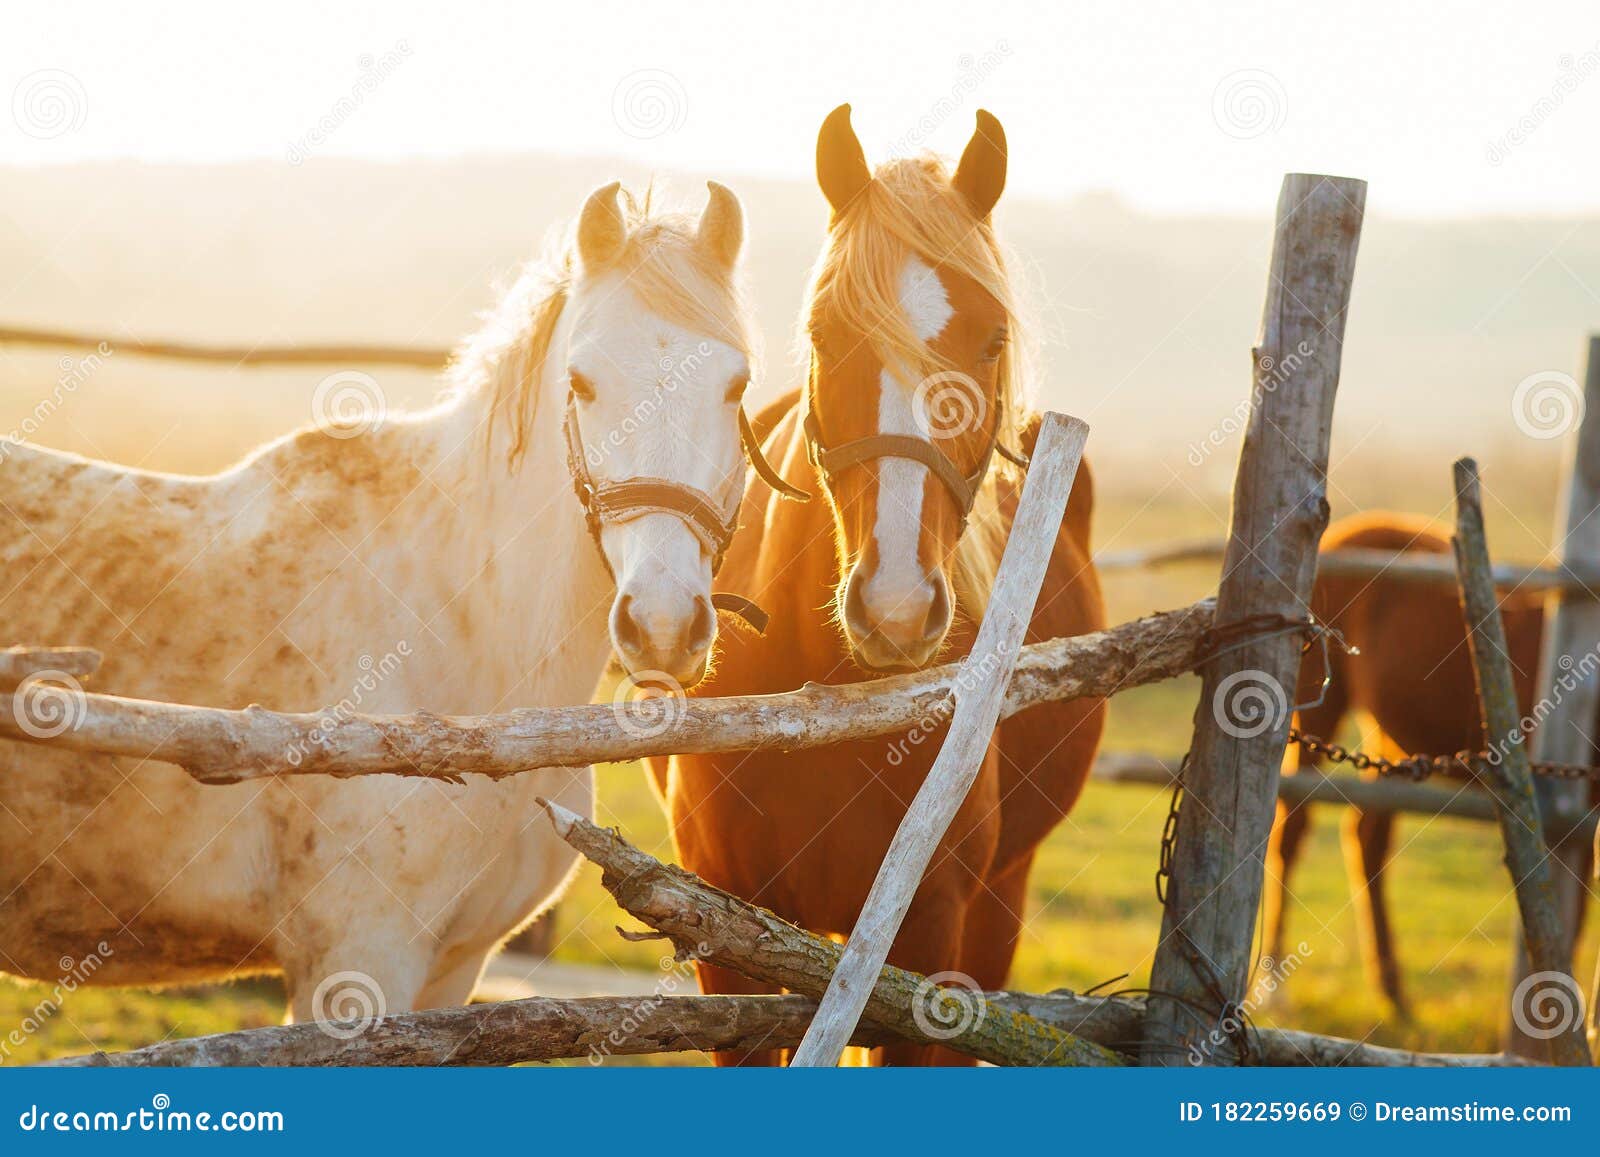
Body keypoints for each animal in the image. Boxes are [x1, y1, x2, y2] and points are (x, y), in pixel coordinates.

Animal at [1263, 510, 1563, 1015]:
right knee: (1293, 829)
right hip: (1319, 710)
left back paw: (1393, 991)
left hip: (1389, 738)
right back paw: (1274, 986)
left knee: (1368, 835)